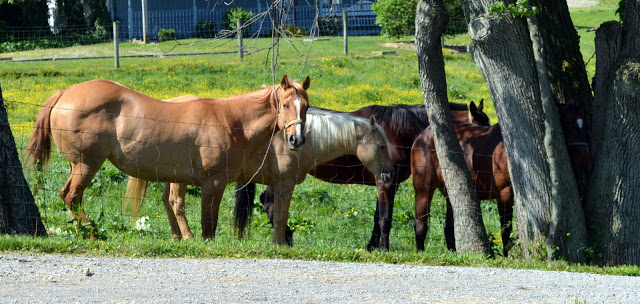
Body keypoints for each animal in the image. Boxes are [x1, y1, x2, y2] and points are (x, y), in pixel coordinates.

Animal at [26, 76, 312, 245]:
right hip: (86, 165)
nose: (297, 139)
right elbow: (209, 222)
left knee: (72, 197)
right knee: (71, 195)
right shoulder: (213, 183)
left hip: (80, 166)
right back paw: (91, 234)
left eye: (306, 106)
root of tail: (64, 93)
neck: (231, 120)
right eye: (285, 105)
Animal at [239, 101, 490, 251]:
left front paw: (372, 246)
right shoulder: (385, 183)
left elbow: (377, 217)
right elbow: (385, 219)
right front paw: (384, 248)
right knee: (271, 203)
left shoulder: (388, 181)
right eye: (481, 127)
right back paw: (287, 238)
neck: (396, 132)